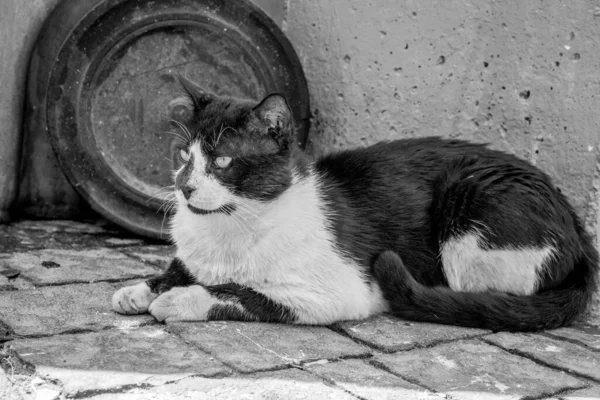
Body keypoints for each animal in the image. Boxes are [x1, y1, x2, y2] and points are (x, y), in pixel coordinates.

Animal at [111, 76, 596, 332]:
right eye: (183, 155)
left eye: (224, 160)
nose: (183, 186)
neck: (230, 226)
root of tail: (578, 229)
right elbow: (175, 269)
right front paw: (140, 289)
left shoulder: (331, 292)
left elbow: (241, 292)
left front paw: (178, 299)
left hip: (469, 205)